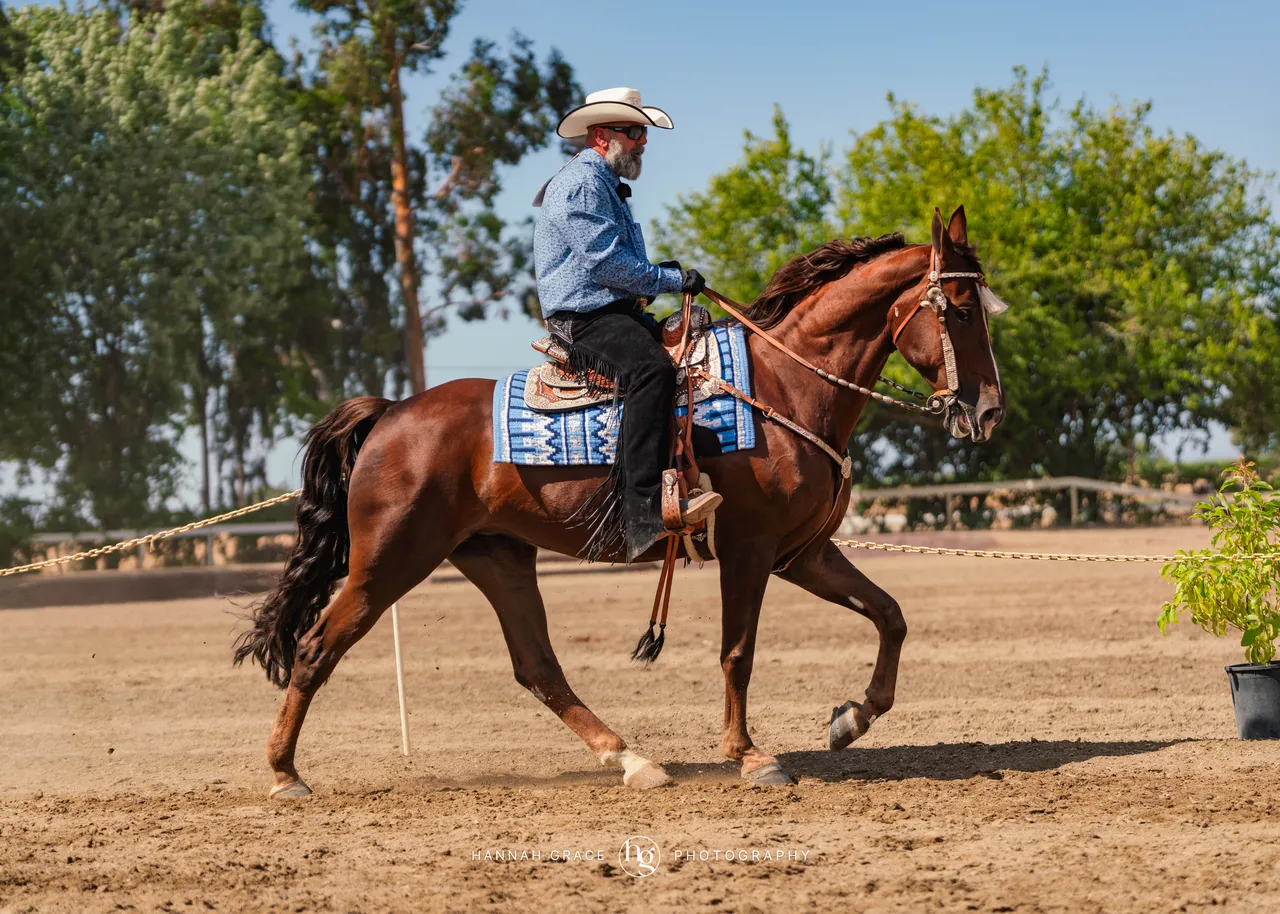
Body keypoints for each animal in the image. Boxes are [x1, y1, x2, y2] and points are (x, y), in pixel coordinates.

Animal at [233, 206, 1005, 796]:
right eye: (963, 310)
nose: (988, 411)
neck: (787, 386)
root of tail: (390, 414)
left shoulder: (803, 553)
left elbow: (890, 615)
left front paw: (853, 718)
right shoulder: (750, 550)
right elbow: (738, 651)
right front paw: (751, 757)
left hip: (495, 556)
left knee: (538, 668)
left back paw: (632, 758)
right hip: (390, 559)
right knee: (315, 648)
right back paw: (284, 774)